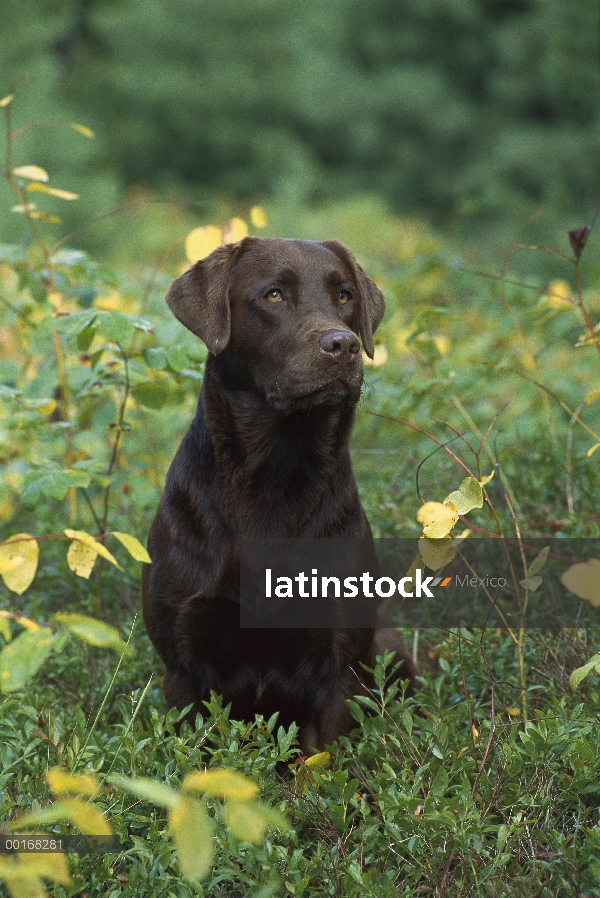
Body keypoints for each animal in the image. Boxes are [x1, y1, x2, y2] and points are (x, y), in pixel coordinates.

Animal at [142, 236, 414, 748]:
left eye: (345, 296)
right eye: (273, 295)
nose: (343, 344)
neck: (274, 477)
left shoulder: (338, 667)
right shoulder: (183, 667)